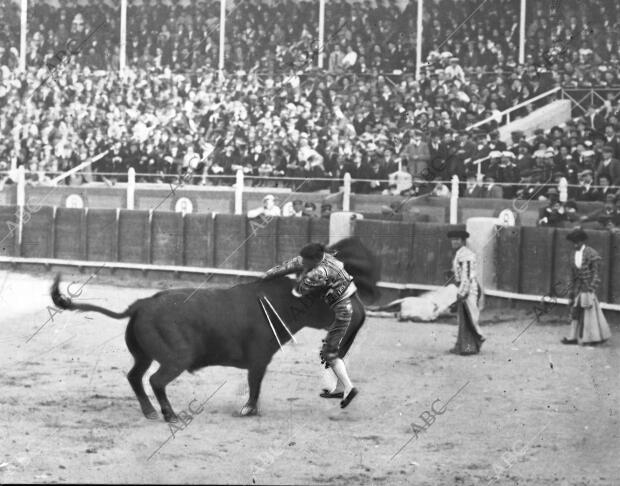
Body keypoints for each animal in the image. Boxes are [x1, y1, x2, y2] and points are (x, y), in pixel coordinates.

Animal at [49, 237, 378, 420]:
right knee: (156, 380)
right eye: (326, 299)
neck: (281, 302)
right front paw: (248, 410)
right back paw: (169, 415)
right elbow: (254, 384)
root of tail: (141, 304)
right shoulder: (260, 359)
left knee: (135, 376)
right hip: (176, 358)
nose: (360, 313)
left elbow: (255, 384)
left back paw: (151, 412)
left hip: (144, 354)